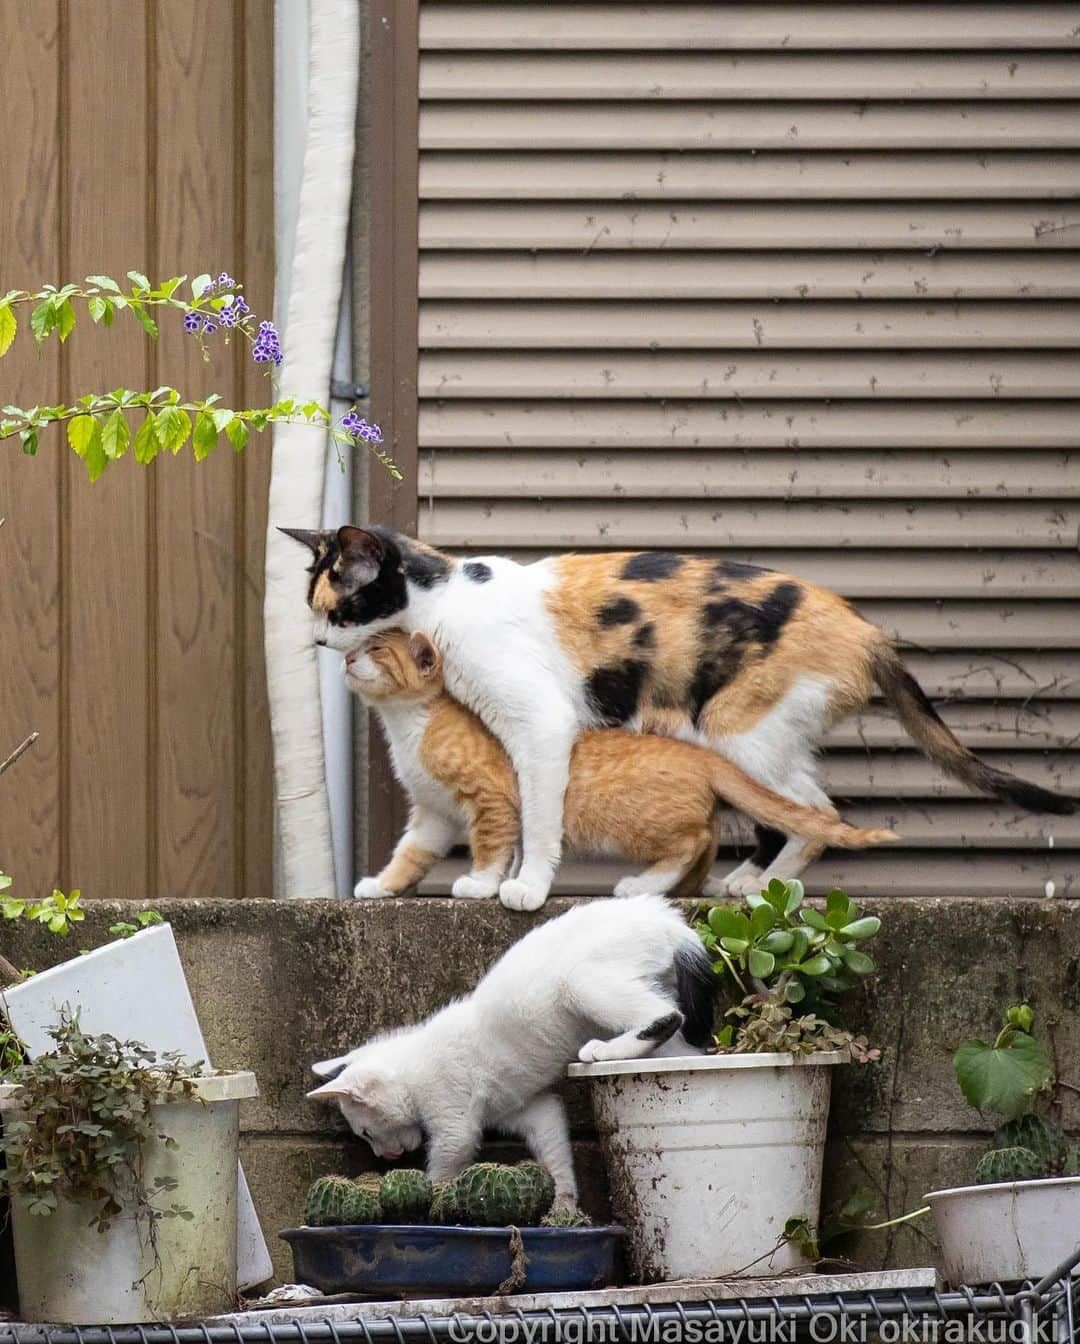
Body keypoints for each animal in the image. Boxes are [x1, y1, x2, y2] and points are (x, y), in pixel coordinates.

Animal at [306, 892, 714, 1209]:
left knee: (667, 1015)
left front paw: (432, 1199)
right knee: (683, 1043)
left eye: (366, 1132)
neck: (413, 1068)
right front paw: (564, 1205)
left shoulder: (454, 1124)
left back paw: (603, 1052)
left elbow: (445, 1165)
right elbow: (555, 1152)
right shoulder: (529, 1107)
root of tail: (664, 916)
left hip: (579, 980)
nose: (384, 1156)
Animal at [341, 628, 891, 903]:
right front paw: (381, 885)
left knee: (691, 842)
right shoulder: (433, 815)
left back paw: (642, 885)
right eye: (355, 646)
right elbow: (410, 854)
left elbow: (491, 848)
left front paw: (479, 884)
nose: (345, 658)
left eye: (375, 649)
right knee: (706, 841)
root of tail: (698, 753)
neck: (407, 728)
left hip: (630, 822)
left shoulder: (489, 800)